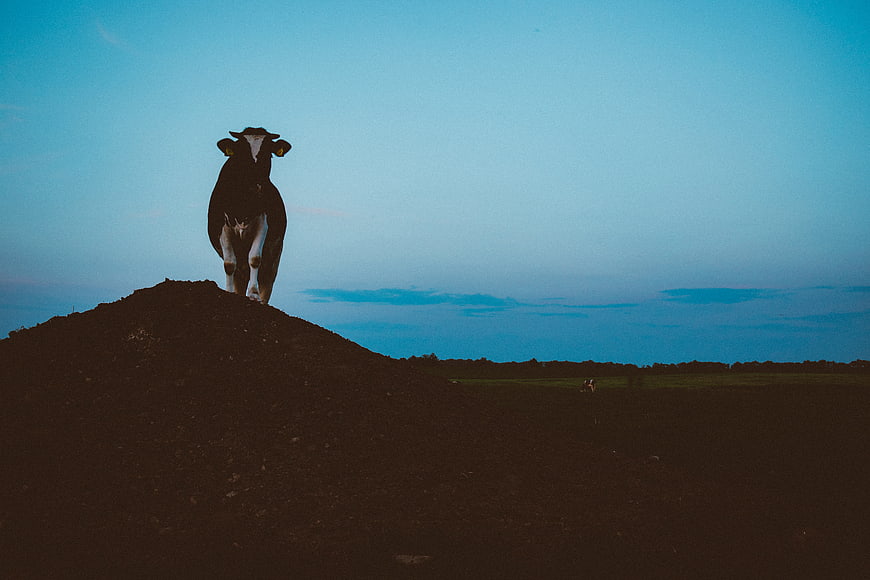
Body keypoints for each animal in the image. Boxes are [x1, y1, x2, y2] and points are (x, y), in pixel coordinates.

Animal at [207, 127, 291, 305]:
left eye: (268, 154)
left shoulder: (263, 223)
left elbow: (255, 258)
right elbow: (229, 263)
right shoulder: (222, 228)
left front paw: (253, 294)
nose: (255, 182)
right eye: (241, 152)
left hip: (274, 258)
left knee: (267, 279)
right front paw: (229, 292)